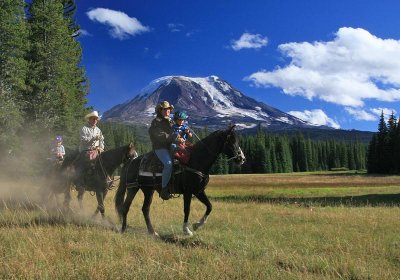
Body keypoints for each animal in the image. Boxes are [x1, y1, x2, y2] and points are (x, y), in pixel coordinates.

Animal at [114, 126, 245, 235]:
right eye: (231, 140)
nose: (242, 159)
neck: (196, 160)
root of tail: (131, 161)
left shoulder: (198, 191)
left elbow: (209, 206)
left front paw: (197, 225)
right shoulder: (188, 192)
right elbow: (187, 209)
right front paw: (186, 230)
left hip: (148, 190)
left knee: (145, 209)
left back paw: (152, 232)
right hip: (133, 188)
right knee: (125, 207)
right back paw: (123, 229)